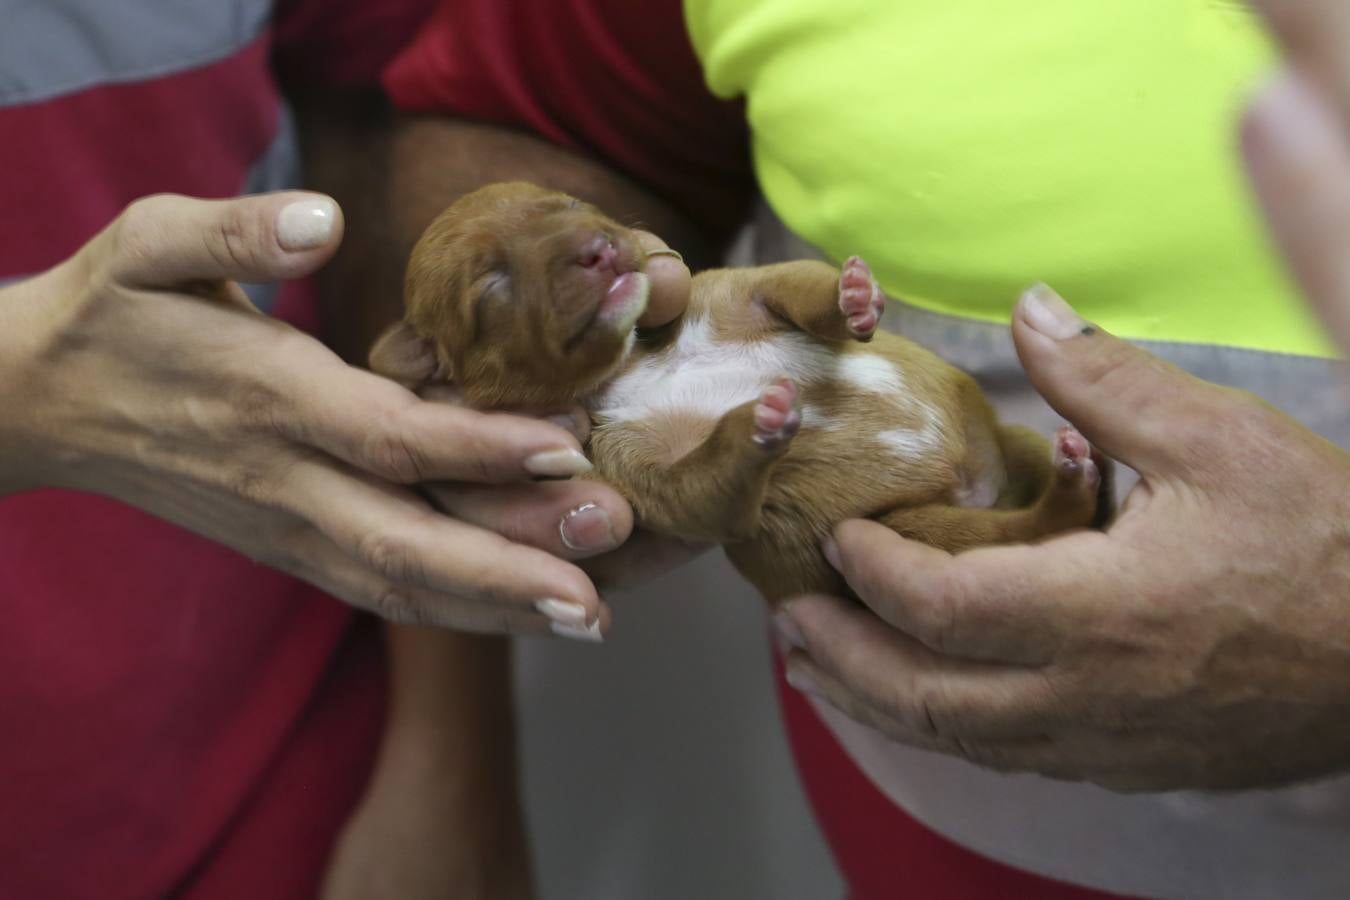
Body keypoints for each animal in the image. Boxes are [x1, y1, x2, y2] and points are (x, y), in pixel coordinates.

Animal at [369, 180, 1107, 604]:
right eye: (491, 285)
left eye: (571, 205)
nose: (599, 248)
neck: (637, 364)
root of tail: (979, 482)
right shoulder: (638, 473)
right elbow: (707, 487)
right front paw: (759, 420)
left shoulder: (733, 290)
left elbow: (796, 284)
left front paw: (853, 297)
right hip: (910, 527)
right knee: (1032, 531)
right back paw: (1071, 485)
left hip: (999, 446)